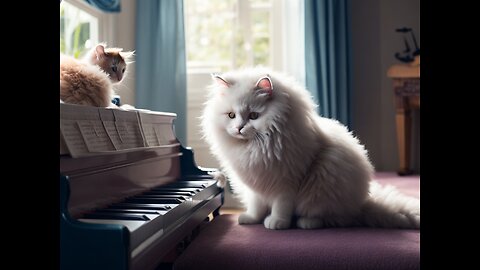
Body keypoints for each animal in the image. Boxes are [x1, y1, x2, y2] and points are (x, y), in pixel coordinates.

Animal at [201, 67, 418, 230]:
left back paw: (306, 223)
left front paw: (277, 223)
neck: (254, 147)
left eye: (254, 116)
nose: (239, 128)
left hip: (324, 183)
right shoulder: (256, 182)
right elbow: (256, 205)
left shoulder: (287, 182)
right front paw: (251, 219)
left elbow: (281, 206)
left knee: (333, 218)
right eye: (231, 115)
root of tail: (361, 204)